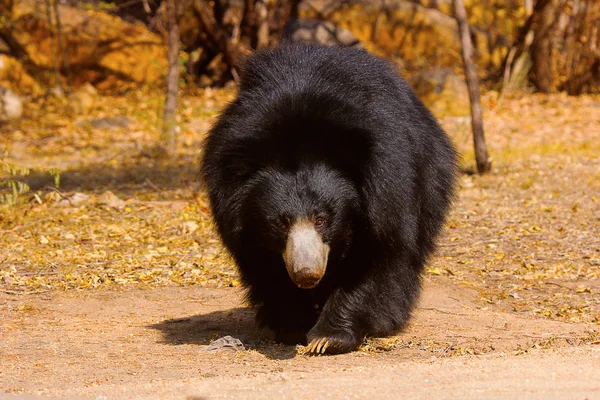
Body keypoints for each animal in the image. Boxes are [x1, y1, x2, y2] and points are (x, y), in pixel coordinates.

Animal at [199, 44, 458, 356]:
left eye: (322, 220)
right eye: (281, 224)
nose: (306, 274)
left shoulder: (387, 189)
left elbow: (377, 254)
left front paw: (328, 337)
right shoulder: (236, 211)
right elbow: (264, 264)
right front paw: (293, 326)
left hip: (430, 176)